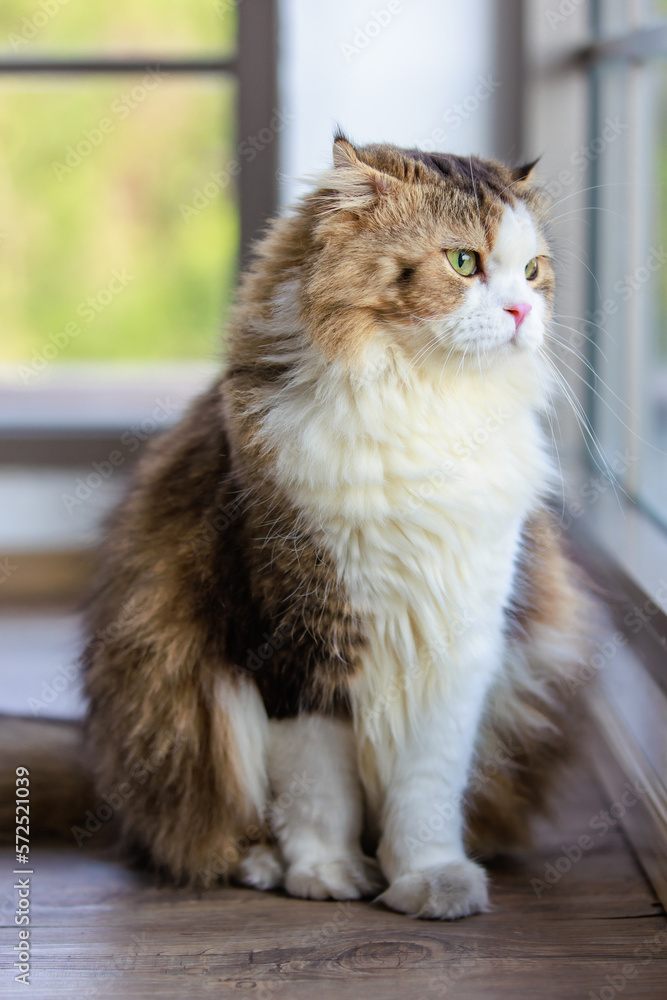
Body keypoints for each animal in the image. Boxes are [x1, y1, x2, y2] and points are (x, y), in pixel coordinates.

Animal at [79, 137, 588, 916]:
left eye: (532, 271)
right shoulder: (298, 642)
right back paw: (263, 863)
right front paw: (325, 873)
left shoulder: (458, 646)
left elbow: (426, 791)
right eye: (463, 261)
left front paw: (429, 879)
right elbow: (317, 788)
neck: (423, 409)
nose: (521, 311)